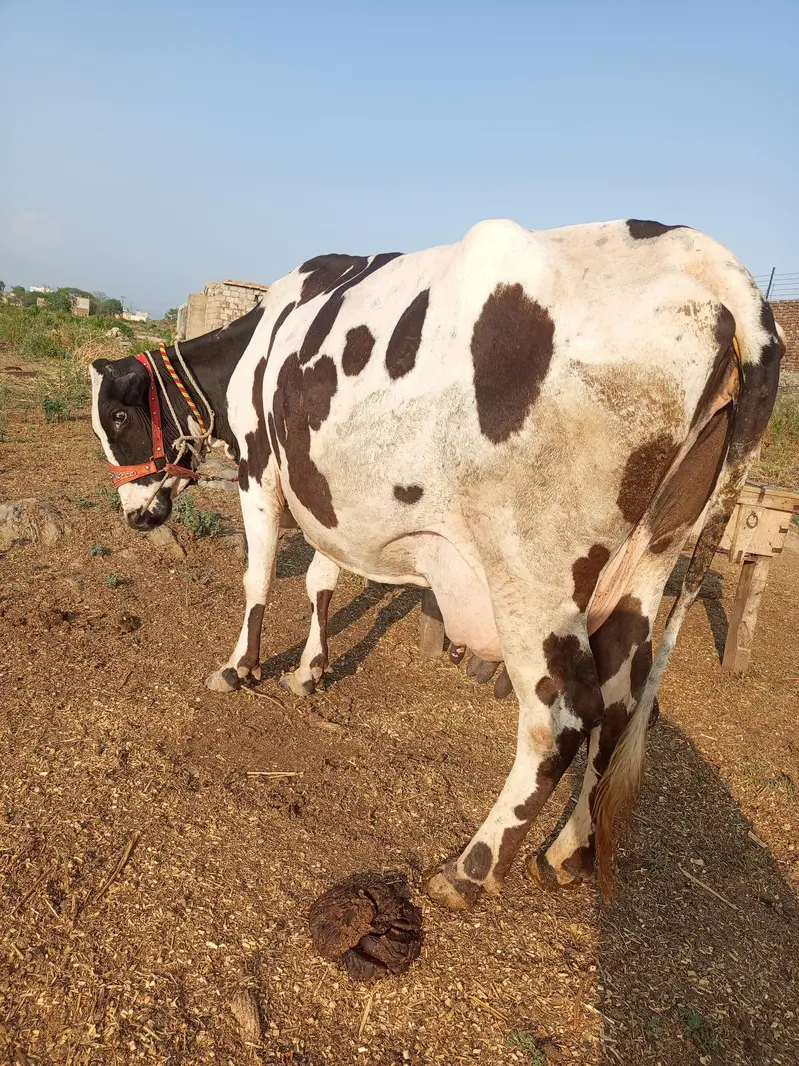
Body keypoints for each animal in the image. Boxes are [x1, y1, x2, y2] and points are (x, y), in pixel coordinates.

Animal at [90, 218, 782, 909]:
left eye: (118, 417)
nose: (135, 515)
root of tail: (713, 266)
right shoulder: (323, 493)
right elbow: (320, 580)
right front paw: (309, 671)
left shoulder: (260, 469)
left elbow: (257, 576)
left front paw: (240, 668)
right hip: (647, 561)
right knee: (618, 703)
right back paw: (566, 854)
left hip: (531, 573)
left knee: (559, 716)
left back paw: (472, 868)